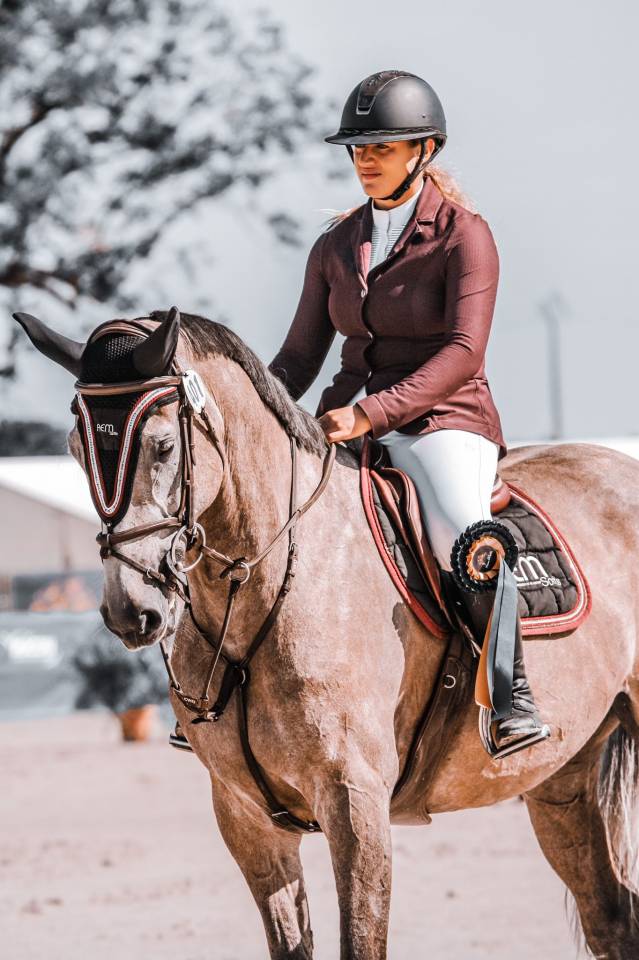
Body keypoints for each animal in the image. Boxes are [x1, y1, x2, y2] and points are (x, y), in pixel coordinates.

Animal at [14, 307, 639, 959]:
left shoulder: (354, 804)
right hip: (562, 777)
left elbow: (361, 941)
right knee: (612, 916)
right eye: (76, 449)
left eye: (162, 447)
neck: (270, 588)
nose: (130, 612)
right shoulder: (246, 818)